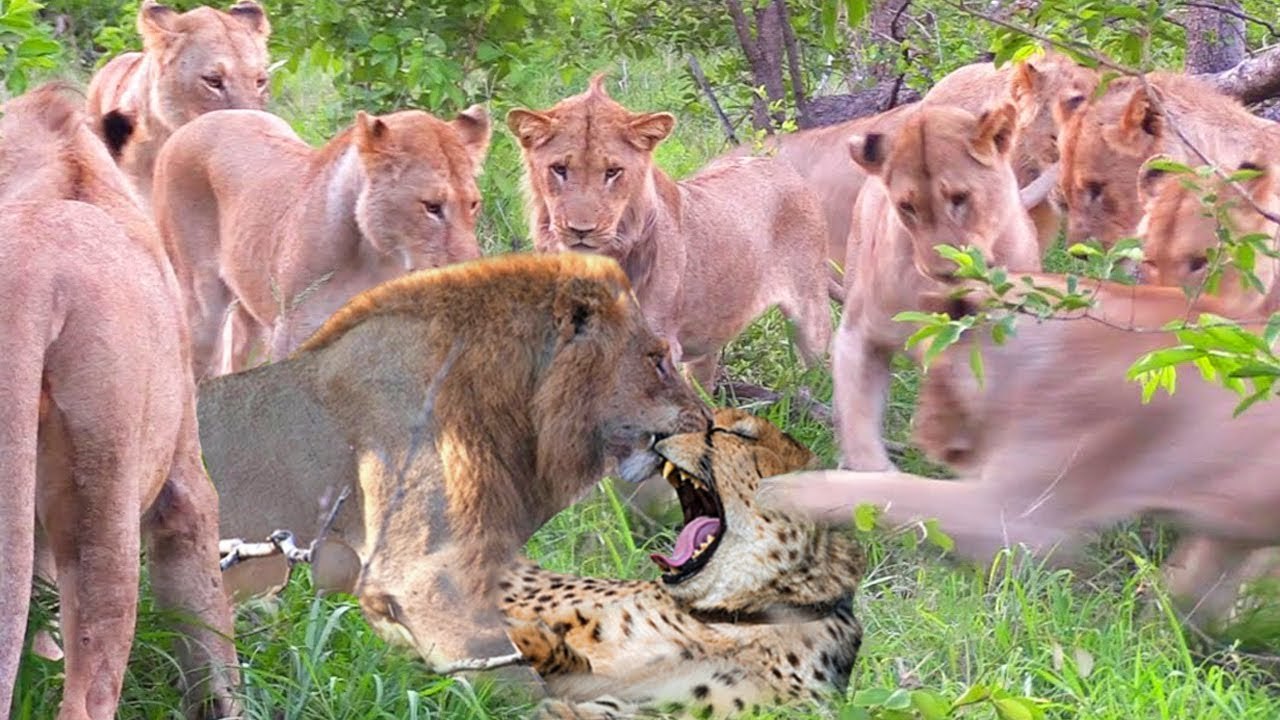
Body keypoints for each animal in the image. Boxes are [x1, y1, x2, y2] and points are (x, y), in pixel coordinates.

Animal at [153, 104, 490, 380]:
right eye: (431, 207)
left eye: (473, 204)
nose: (469, 269)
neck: (379, 261)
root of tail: (201, 120)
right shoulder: (295, 332)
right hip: (201, 307)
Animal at [507, 75, 831, 390]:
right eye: (559, 169)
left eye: (613, 172)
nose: (580, 230)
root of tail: (782, 166)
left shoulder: (660, 344)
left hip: (811, 313)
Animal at [767, 274, 1280, 628]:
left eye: (935, 372)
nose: (922, 438)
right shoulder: (1224, 537)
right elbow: (1192, 593)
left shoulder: (1021, 519)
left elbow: (880, 492)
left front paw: (777, 491)